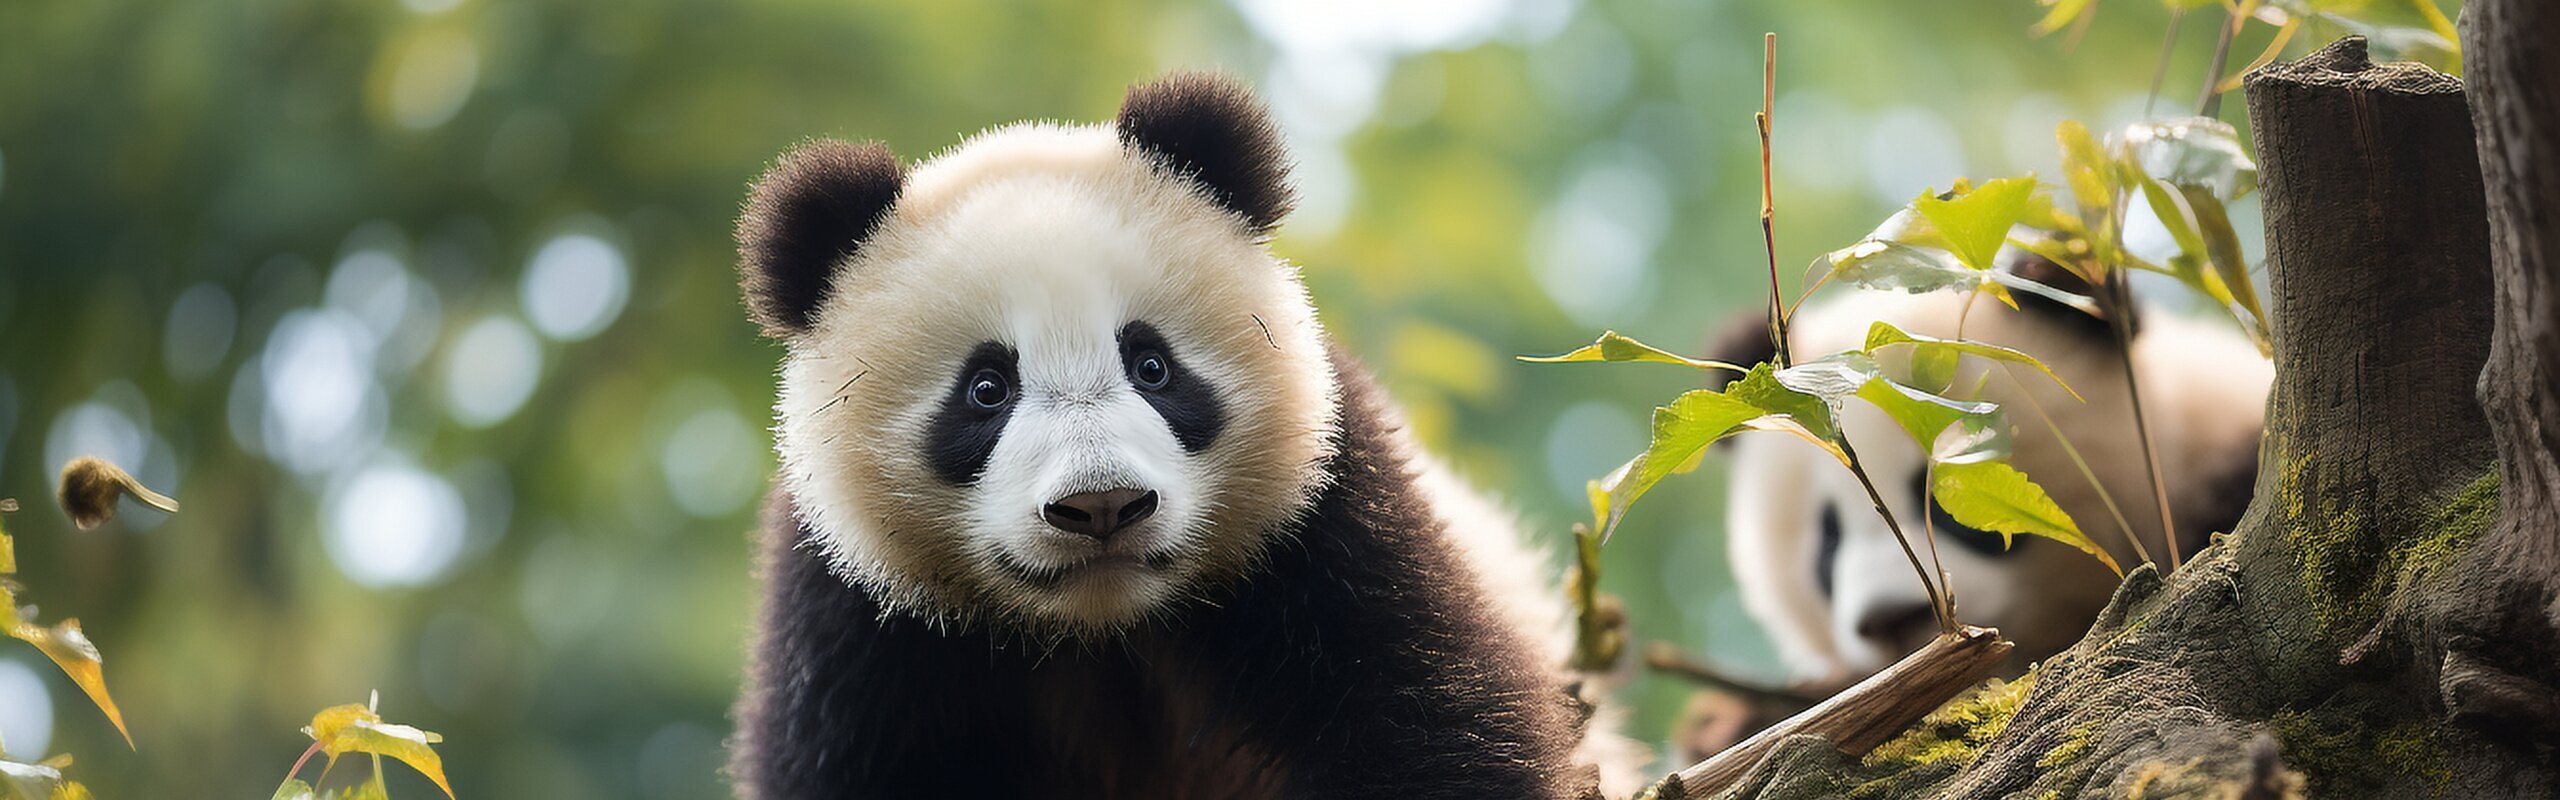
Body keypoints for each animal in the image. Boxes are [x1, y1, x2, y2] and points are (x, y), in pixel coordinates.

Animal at [725, 73, 1640, 799]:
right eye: (986, 391)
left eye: (1152, 366)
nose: (1101, 505)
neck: (1108, 630)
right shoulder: (856, 620)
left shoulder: (1330, 516)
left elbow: (1429, 713)